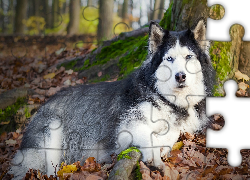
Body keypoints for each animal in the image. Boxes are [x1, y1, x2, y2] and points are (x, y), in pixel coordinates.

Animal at [9, 19, 215, 179]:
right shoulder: (127, 126)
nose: (181, 76)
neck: (167, 99)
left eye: (189, 56)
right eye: (169, 59)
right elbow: (148, 136)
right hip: (51, 133)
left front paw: (163, 144)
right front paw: (154, 156)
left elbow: (173, 133)